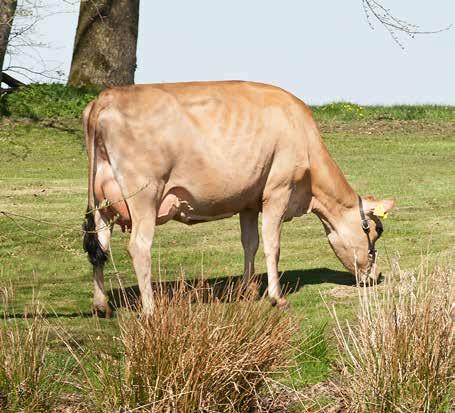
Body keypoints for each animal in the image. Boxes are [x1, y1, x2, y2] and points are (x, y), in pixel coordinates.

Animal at [82, 80, 396, 316]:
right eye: (375, 231)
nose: (374, 276)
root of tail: (105, 98)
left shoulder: (248, 200)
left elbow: (250, 244)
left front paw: (247, 289)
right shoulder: (277, 191)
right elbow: (272, 245)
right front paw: (276, 297)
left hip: (103, 201)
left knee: (99, 248)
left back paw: (102, 306)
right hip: (145, 195)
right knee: (138, 247)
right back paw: (150, 309)